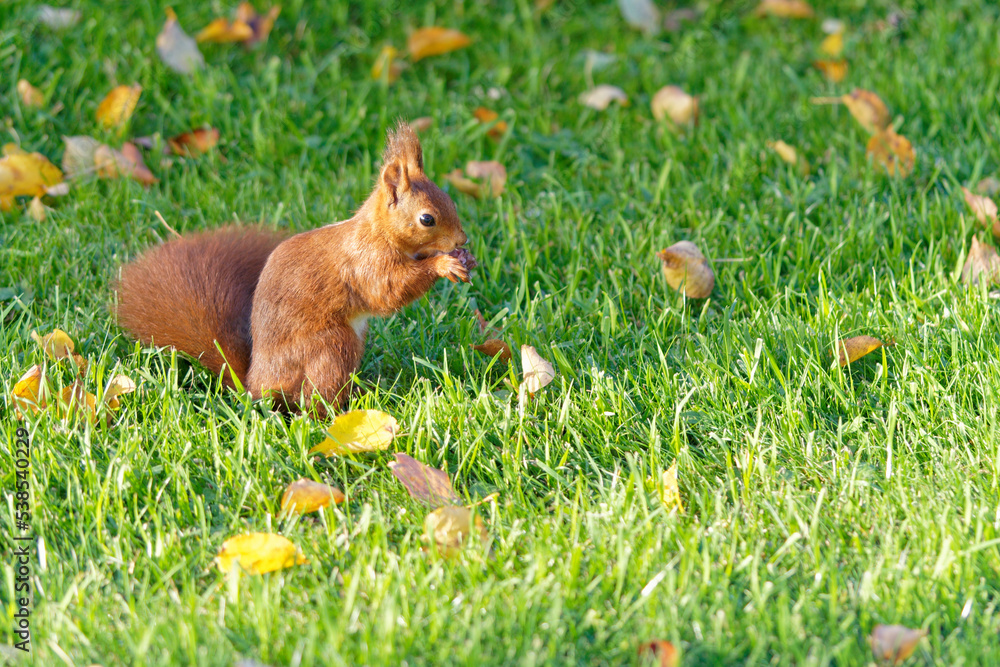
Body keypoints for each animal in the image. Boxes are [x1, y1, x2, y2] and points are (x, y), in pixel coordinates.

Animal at [115, 120, 474, 412]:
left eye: (451, 201)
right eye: (427, 219)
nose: (462, 239)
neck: (378, 232)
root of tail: (255, 384)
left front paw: (464, 259)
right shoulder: (366, 262)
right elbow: (387, 292)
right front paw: (443, 264)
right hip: (331, 346)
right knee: (316, 395)